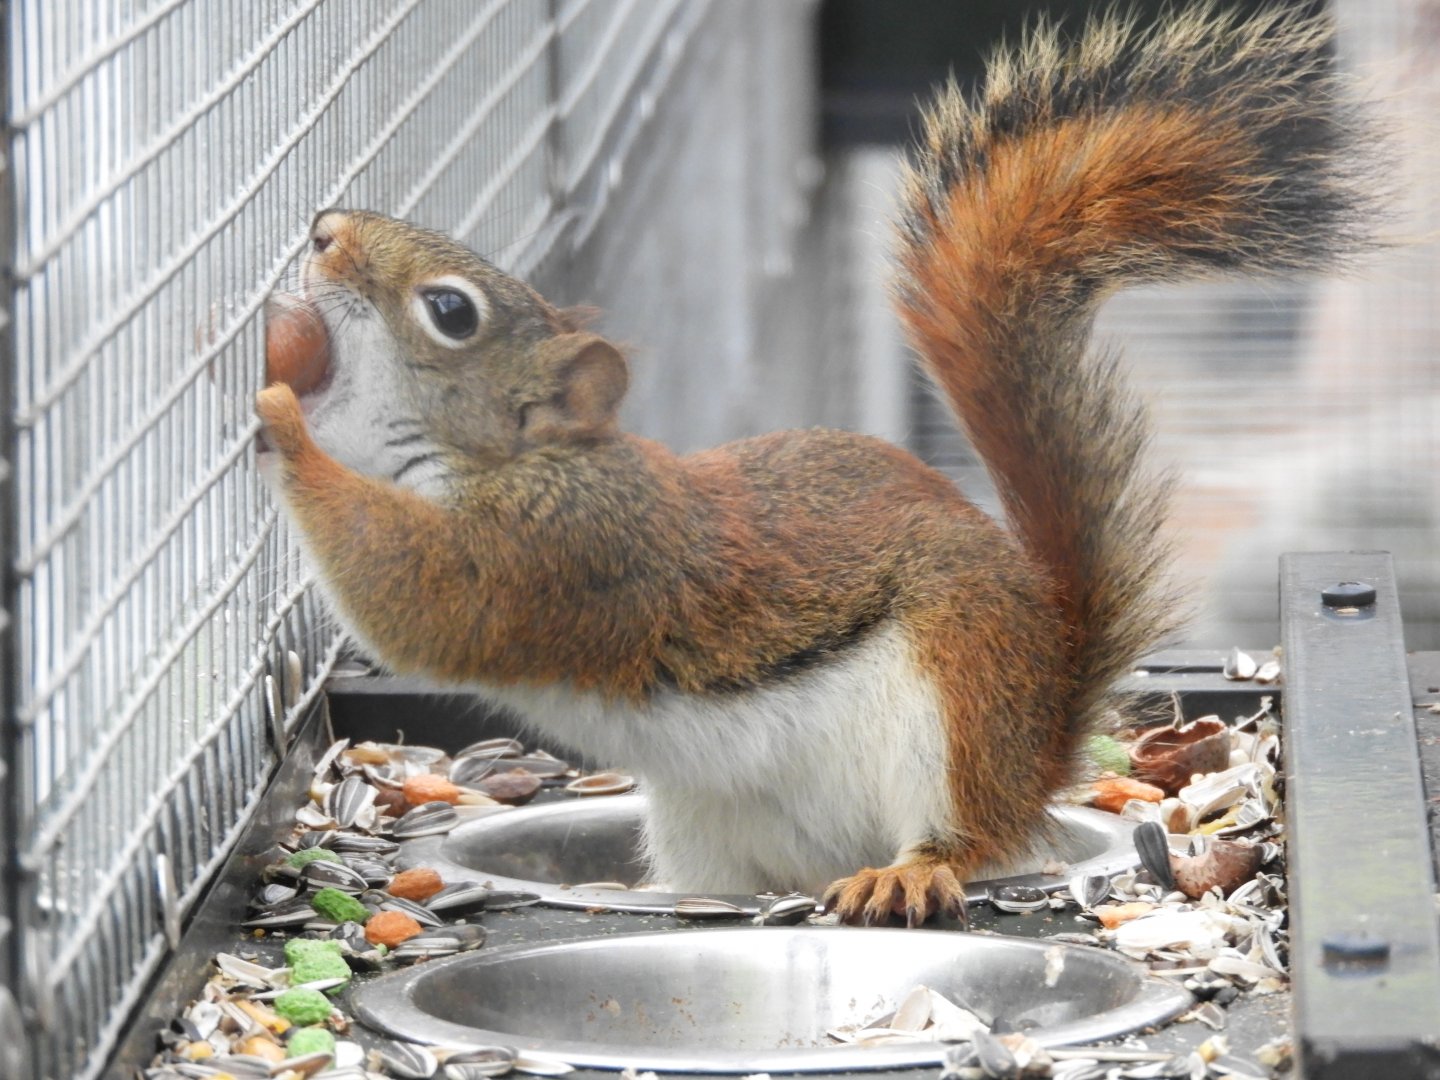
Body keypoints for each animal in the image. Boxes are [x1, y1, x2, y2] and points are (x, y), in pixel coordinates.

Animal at [256, 4, 1380, 925]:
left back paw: (912, 873)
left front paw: (277, 418)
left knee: (966, 835)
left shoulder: (564, 553)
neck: (502, 459)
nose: (321, 229)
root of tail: (1041, 731)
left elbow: (419, 598)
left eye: (450, 312)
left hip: (955, 686)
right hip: (709, 826)